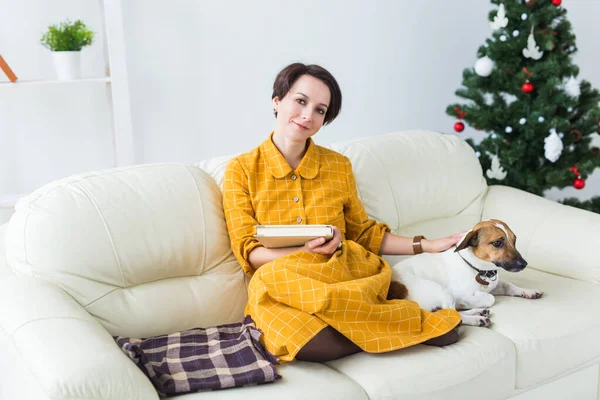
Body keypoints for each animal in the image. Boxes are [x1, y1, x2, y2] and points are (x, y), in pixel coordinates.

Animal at [386, 220, 548, 326]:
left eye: (514, 241)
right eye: (497, 243)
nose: (524, 264)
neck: (481, 270)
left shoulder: (495, 285)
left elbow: (509, 286)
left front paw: (528, 292)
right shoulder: (461, 294)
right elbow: (490, 298)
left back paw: (479, 312)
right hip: (442, 290)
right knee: (452, 316)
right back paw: (477, 318)